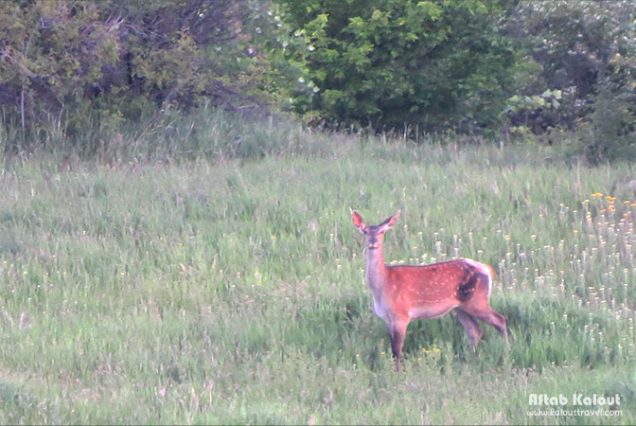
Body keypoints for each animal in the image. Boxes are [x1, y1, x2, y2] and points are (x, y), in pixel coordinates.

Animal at [352, 210, 506, 370]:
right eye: (365, 231)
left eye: (382, 231)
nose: (373, 242)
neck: (382, 287)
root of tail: (487, 269)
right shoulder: (388, 319)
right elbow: (393, 348)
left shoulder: (402, 314)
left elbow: (397, 349)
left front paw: (398, 372)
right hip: (461, 307)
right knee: (474, 331)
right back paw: (469, 359)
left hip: (477, 300)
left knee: (500, 320)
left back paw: (506, 351)